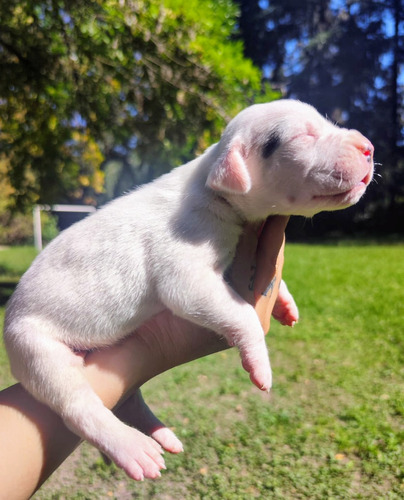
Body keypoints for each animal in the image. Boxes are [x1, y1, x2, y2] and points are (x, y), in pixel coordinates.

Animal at [3, 98, 376, 480]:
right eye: (303, 135)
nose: (369, 147)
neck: (214, 186)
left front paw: (286, 304)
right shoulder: (184, 274)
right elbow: (241, 314)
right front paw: (260, 368)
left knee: (127, 400)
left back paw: (163, 435)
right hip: (35, 350)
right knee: (78, 406)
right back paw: (135, 450)